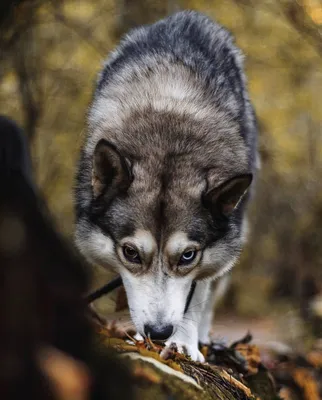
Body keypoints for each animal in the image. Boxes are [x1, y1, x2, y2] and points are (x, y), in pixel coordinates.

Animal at [74, 10, 258, 362]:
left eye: (187, 256)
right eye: (130, 253)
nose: (159, 333)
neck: (169, 132)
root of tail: (191, 15)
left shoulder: (210, 256)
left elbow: (196, 296)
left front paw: (185, 343)